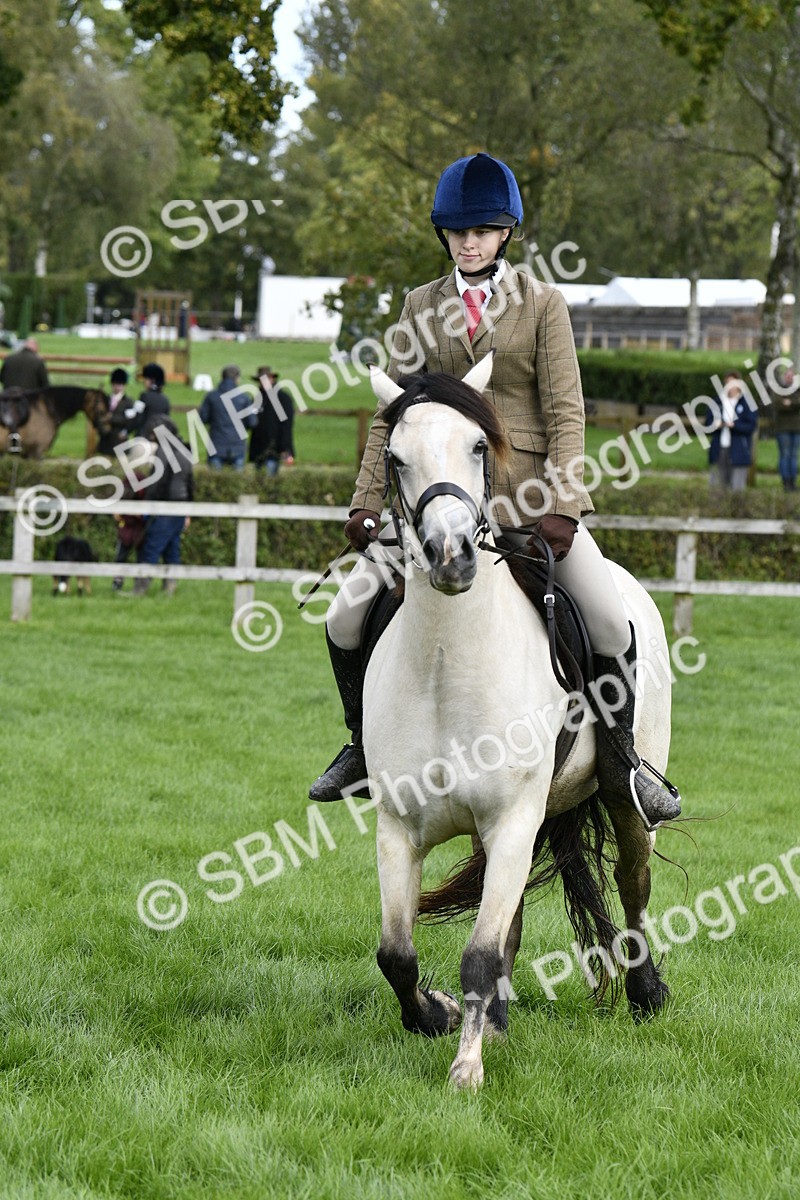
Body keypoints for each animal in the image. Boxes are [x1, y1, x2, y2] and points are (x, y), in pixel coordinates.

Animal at [362, 357, 674, 1091]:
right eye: (395, 457)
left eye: (480, 445)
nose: (451, 556)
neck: (445, 663)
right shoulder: (400, 827)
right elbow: (398, 954)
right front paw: (439, 1016)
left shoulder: (511, 818)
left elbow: (477, 953)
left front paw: (465, 1069)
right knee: (509, 924)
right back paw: (497, 1021)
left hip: (621, 794)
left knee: (633, 881)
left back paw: (646, 993)